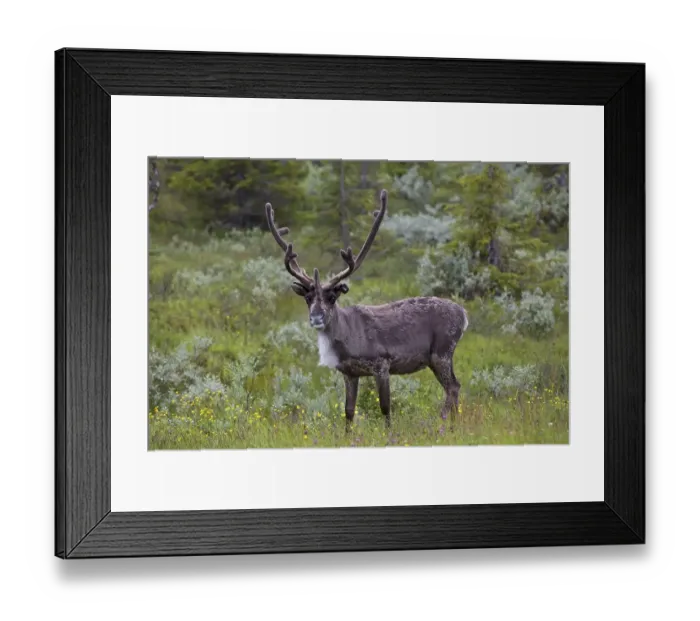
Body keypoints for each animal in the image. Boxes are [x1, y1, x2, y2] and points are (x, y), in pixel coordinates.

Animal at [265, 189, 469, 432]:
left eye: (332, 297)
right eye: (307, 298)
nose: (316, 317)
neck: (346, 337)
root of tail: (464, 315)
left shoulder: (382, 364)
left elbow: (386, 407)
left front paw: (389, 435)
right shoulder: (350, 373)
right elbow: (348, 411)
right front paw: (347, 436)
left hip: (441, 353)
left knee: (453, 387)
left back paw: (444, 424)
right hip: (439, 358)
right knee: (454, 386)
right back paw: (454, 427)